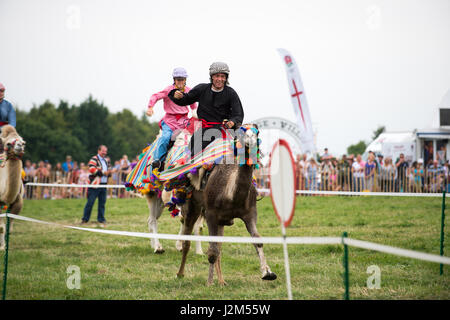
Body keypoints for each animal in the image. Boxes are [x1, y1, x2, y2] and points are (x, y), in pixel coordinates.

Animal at [177, 124, 278, 284]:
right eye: (242, 134)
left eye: (257, 133)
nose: (251, 141)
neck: (231, 194)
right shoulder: (211, 214)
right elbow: (212, 251)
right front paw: (209, 283)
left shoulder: (250, 213)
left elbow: (257, 240)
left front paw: (267, 273)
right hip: (192, 207)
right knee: (188, 240)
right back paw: (180, 273)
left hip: (221, 221)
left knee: (219, 246)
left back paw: (222, 281)